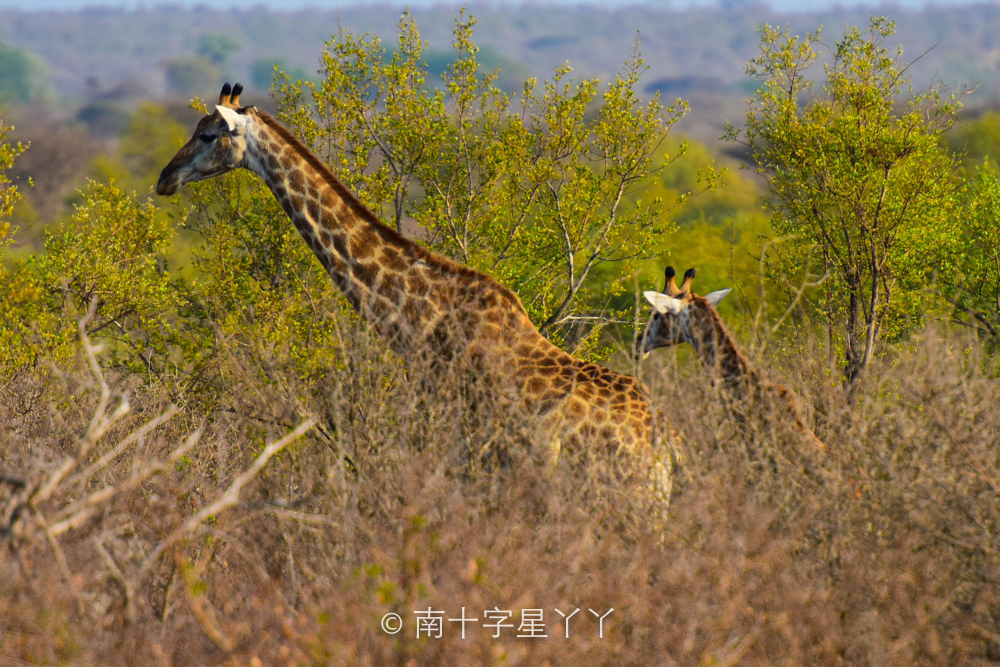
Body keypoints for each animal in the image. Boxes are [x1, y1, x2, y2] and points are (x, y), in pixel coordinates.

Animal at [158, 85, 680, 516]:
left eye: (208, 135)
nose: (164, 177)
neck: (419, 323)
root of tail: (665, 445)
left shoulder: (456, 444)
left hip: (627, 494)